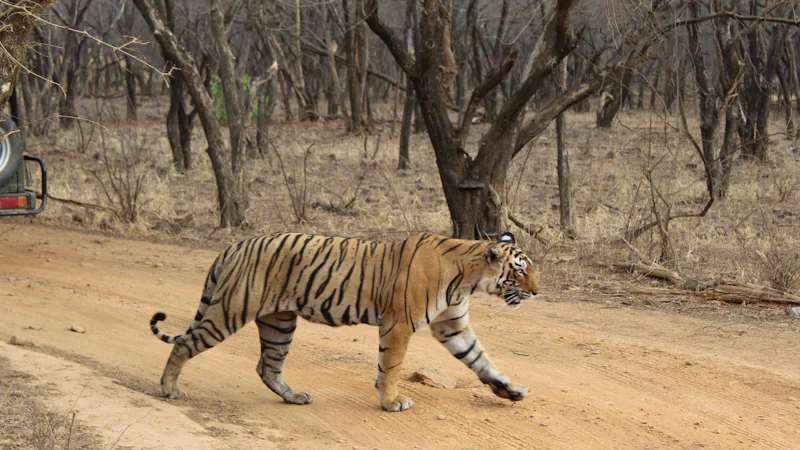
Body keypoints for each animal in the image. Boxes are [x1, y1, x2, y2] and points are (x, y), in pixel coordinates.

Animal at [149, 231, 539, 412]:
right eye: (520, 271)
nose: (537, 292)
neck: (469, 279)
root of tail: (234, 245)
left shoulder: (452, 325)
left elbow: (481, 359)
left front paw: (510, 390)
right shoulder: (399, 323)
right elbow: (391, 366)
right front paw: (391, 402)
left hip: (280, 322)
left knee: (267, 367)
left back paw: (294, 397)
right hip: (231, 310)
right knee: (185, 344)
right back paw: (168, 389)